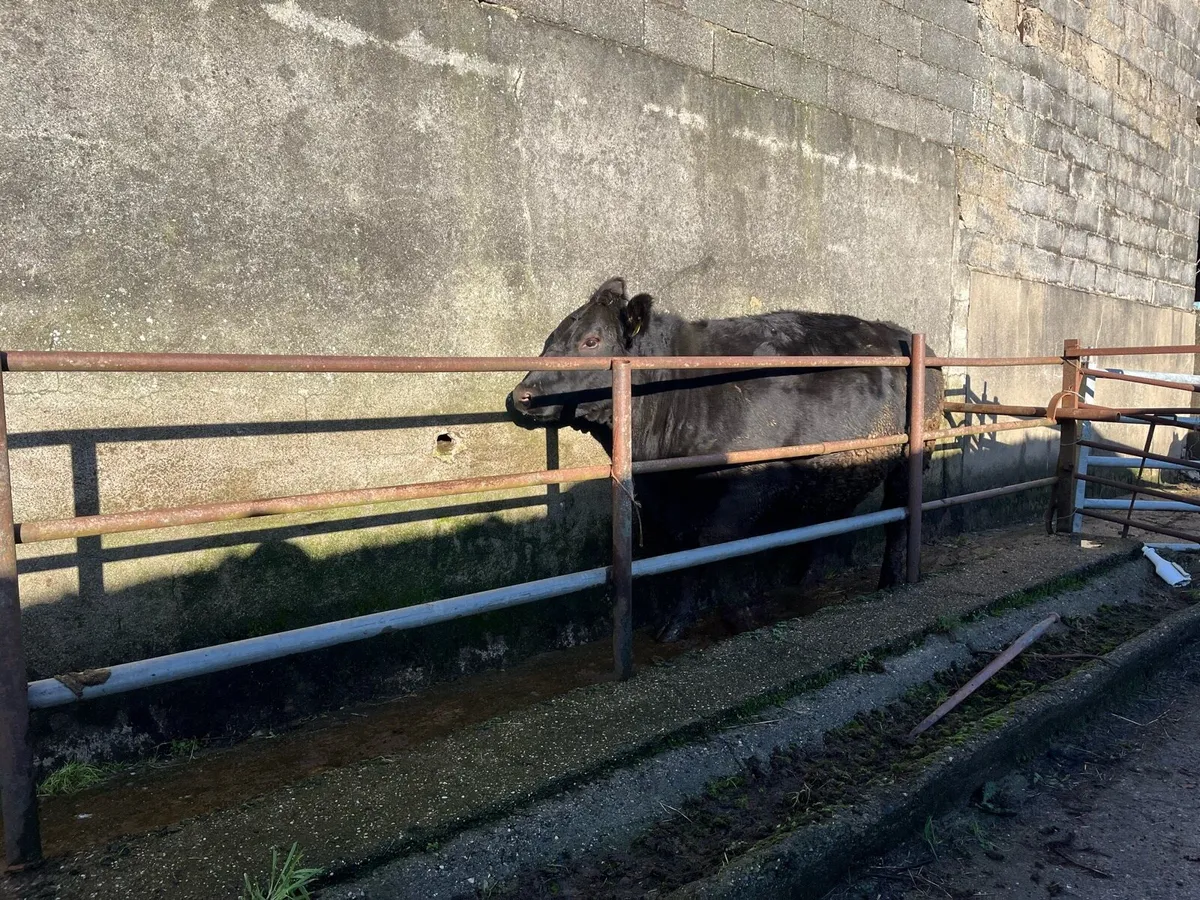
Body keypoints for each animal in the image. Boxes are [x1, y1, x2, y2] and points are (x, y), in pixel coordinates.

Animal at [507, 277, 944, 642]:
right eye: (552, 337)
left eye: (591, 341)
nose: (520, 396)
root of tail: (907, 335)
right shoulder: (669, 500)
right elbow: (686, 554)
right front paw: (674, 624)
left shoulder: (750, 484)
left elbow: (717, 545)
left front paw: (740, 617)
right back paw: (805, 582)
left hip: (911, 455)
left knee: (898, 516)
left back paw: (890, 580)